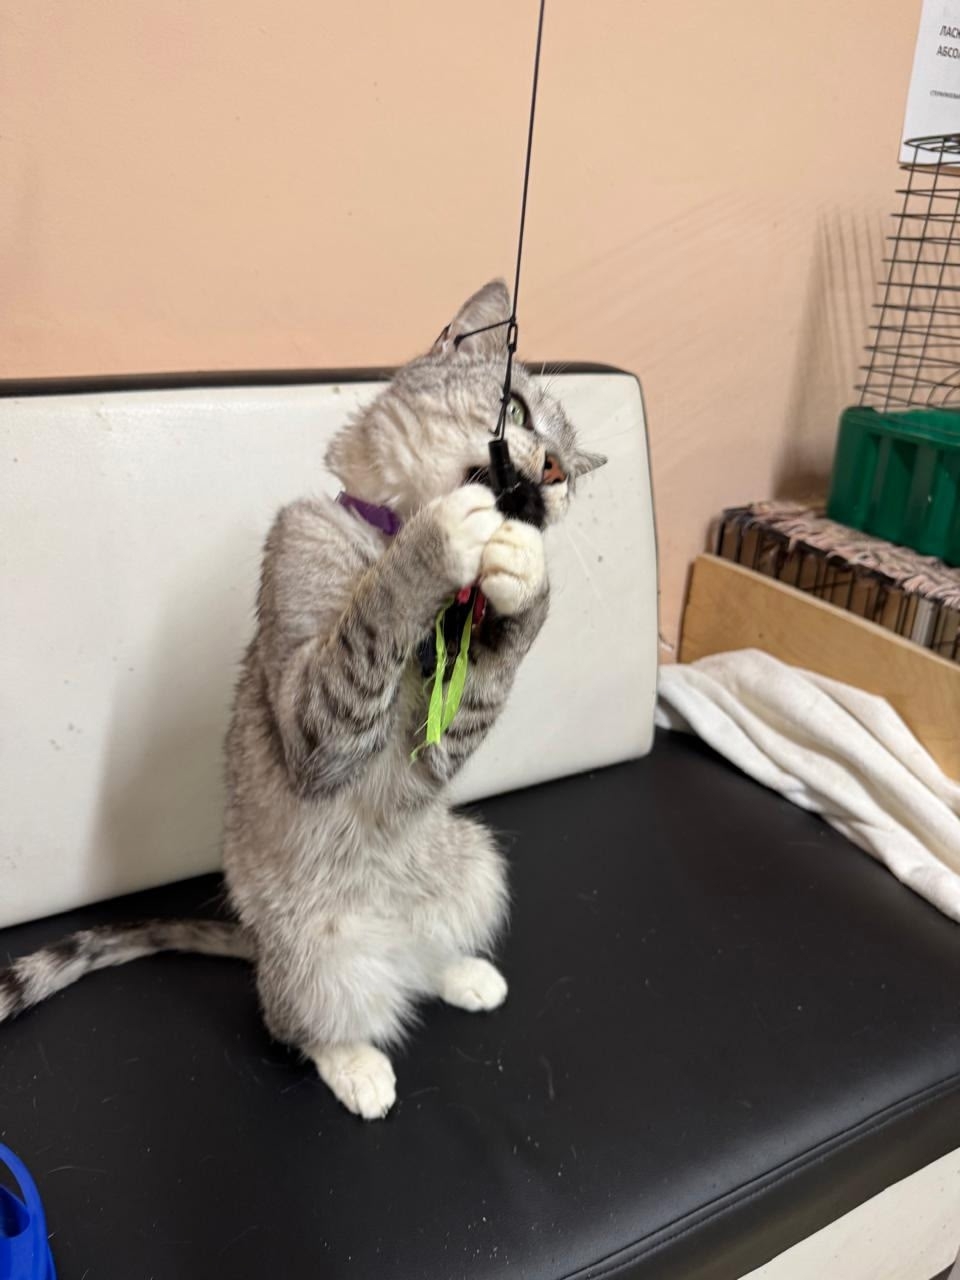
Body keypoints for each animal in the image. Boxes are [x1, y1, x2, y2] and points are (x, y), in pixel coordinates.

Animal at [0, 280, 605, 1119]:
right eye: (516, 407)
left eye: (571, 472)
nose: (548, 475)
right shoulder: (316, 725)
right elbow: (370, 625)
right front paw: (439, 539)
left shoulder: (434, 748)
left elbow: (482, 675)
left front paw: (526, 578)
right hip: (314, 957)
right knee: (300, 1021)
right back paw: (358, 1067)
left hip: (477, 861)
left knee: (420, 960)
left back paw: (462, 972)